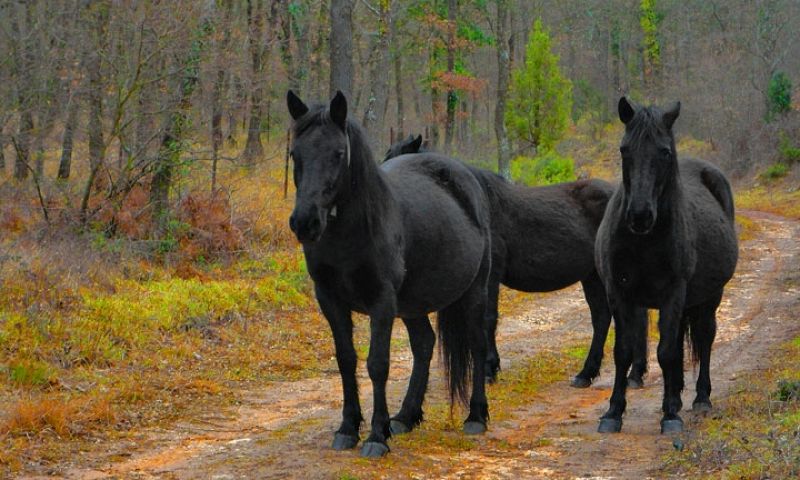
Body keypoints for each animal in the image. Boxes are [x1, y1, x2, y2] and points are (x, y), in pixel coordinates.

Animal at [284, 91, 490, 458]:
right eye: (296, 153)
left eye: (338, 154)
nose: (305, 222)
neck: (351, 234)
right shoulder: (330, 300)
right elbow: (346, 360)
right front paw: (348, 428)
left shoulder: (382, 301)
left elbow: (377, 364)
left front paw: (376, 436)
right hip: (413, 304)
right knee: (424, 344)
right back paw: (406, 416)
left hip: (474, 291)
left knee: (478, 343)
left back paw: (476, 416)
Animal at [382, 136, 648, 390]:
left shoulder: (490, 276)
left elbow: (488, 319)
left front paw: (489, 369)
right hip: (592, 275)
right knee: (604, 317)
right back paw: (590, 374)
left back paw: (632, 374)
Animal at [592, 97, 736, 436]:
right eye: (624, 149)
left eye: (664, 152)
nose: (640, 215)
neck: (643, 241)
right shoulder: (620, 294)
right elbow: (624, 351)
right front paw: (613, 412)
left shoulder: (673, 294)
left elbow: (667, 351)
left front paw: (670, 415)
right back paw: (679, 394)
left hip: (710, 297)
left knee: (705, 337)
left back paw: (699, 398)